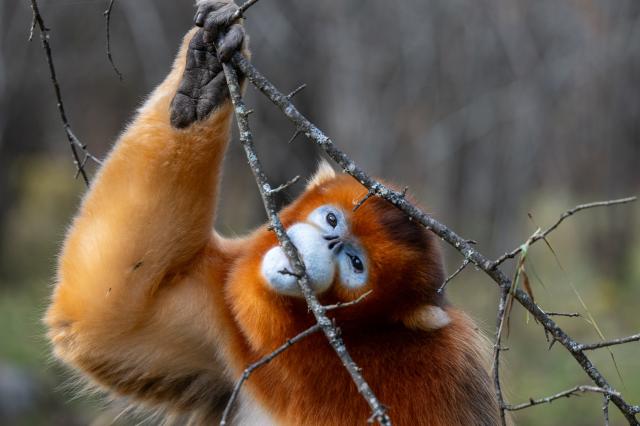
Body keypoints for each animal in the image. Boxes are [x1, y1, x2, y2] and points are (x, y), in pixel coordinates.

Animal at [44, 1, 501, 424]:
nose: (326, 242)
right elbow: (102, 317)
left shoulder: (447, 376)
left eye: (355, 263)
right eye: (332, 220)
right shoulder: (222, 310)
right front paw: (201, 82)